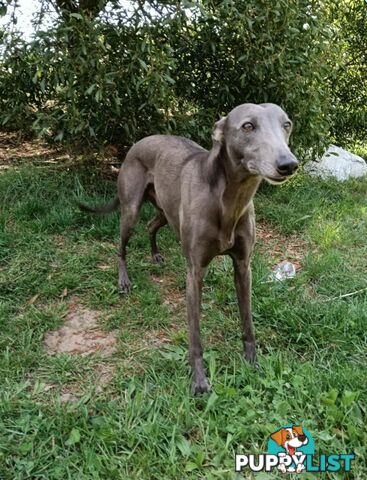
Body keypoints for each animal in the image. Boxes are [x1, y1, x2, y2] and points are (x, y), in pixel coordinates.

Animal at [80, 101, 300, 394]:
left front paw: (252, 363)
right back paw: (124, 280)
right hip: (131, 209)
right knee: (122, 246)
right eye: (248, 126)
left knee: (151, 225)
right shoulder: (195, 272)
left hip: (165, 210)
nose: (288, 164)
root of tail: (139, 142)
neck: (229, 200)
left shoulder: (243, 266)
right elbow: (195, 336)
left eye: (286, 124)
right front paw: (199, 380)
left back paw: (155, 255)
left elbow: (248, 322)